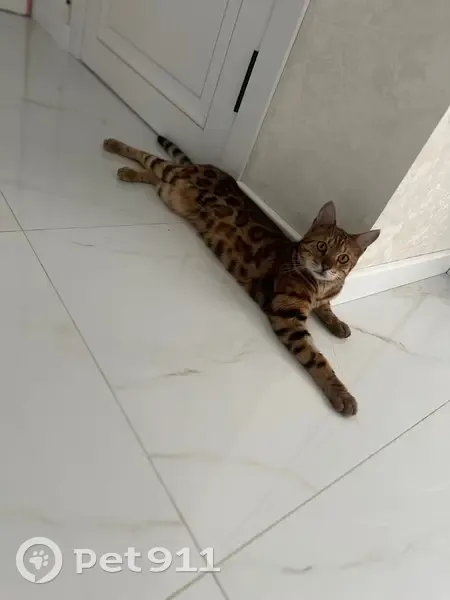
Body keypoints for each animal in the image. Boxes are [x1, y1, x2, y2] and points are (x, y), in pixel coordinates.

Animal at [103, 136, 380, 416]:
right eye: (322, 246)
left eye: (343, 258)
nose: (325, 265)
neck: (322, 285)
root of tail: (208, 168)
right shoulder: (288, 317)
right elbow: (318, 360)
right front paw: (341, 394)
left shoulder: (320, 300)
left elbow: (327, 309)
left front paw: (338, 324)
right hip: (173, 177)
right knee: (151, 158)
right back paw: (115, 147)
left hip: (170, 195)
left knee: (155, 177)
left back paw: (132, 172)